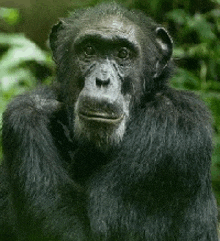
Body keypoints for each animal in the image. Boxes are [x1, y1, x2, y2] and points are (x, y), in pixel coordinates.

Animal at [0, 2, 218, 241]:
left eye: (123, 54)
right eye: (89, 50)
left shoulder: (172, 133)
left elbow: (87, 232)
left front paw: (33, 105)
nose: (102, 80)